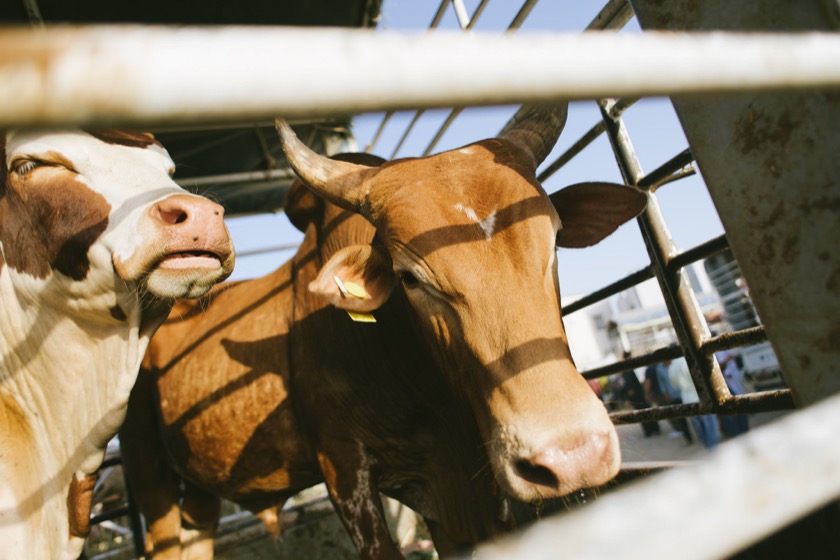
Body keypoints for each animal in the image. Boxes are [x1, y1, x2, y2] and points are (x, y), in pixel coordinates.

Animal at [120, 104, 646, 559]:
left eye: (553, 241)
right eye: (409, 277)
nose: (573, 457)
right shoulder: (345, 471)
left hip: (199, 489)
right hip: (147, 469)